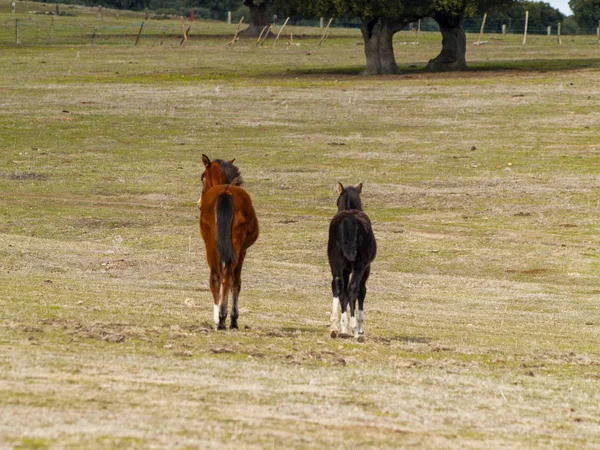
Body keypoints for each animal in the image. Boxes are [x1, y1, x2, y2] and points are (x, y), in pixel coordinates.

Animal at [198, 156, 258, 330]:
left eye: (202, 178)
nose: (199, 204)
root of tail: (225, 192)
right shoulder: (243, 251)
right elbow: (236, 283)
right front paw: (234, 319)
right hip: (235, 245)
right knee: (227, 275)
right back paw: (223, 317)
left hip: (210, 244)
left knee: (215, 276)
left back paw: (217, 319)